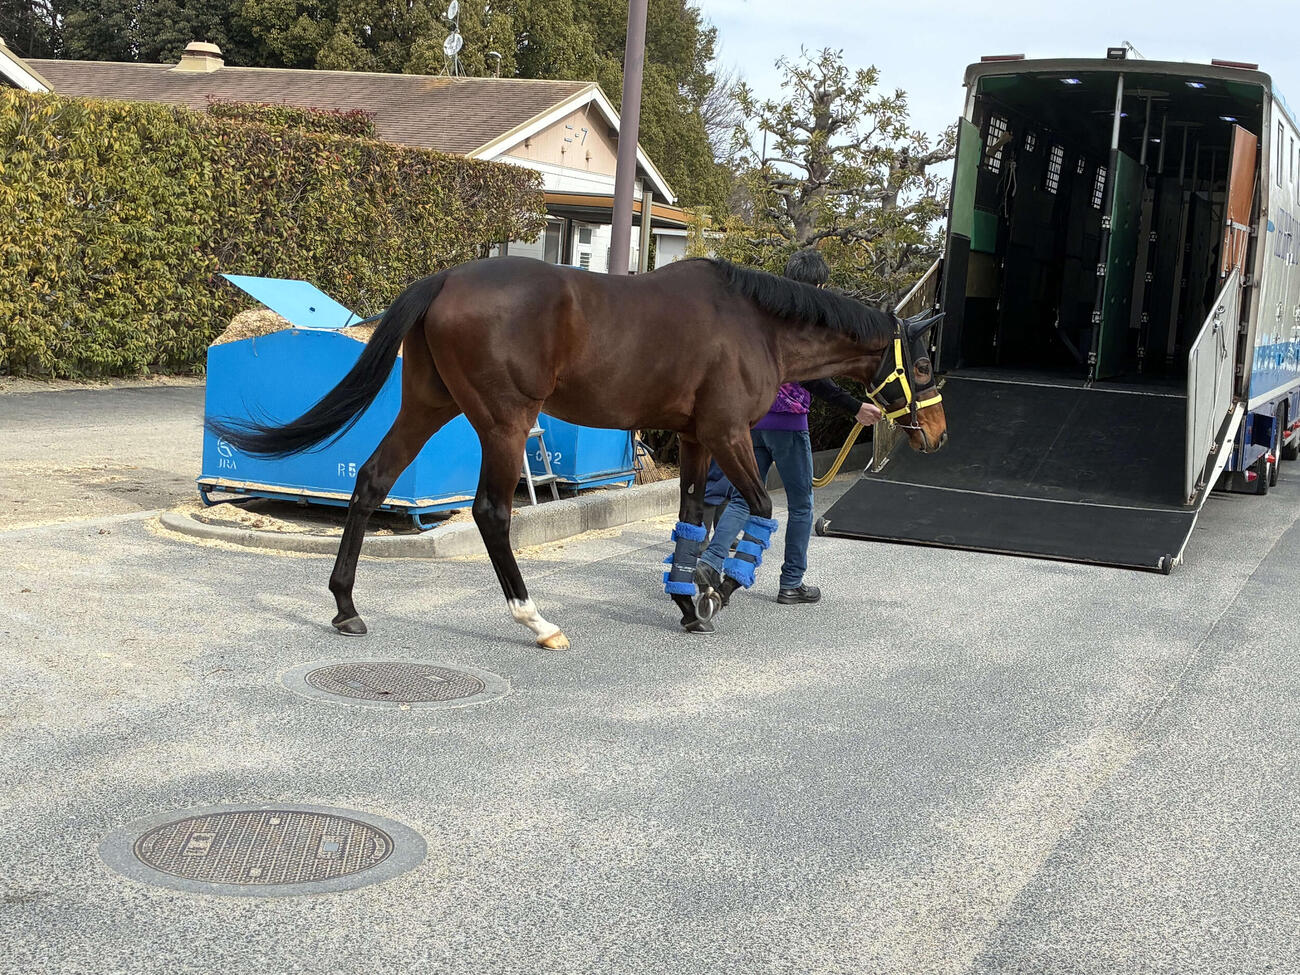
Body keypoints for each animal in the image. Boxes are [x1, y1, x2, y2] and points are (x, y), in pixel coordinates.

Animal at [208, 256, 947, 648]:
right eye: (927, 362)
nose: (937, 434)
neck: (752, 324)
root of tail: (449, 279)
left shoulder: (693, 438)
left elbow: (691, 519)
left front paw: (687, 600)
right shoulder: (728, 432)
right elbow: (760, 511)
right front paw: (716, 591)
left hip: (427, 406)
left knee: (371, 480)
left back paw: (345, 604)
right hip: (503, 423)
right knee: (491, 512)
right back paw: (534, 618)